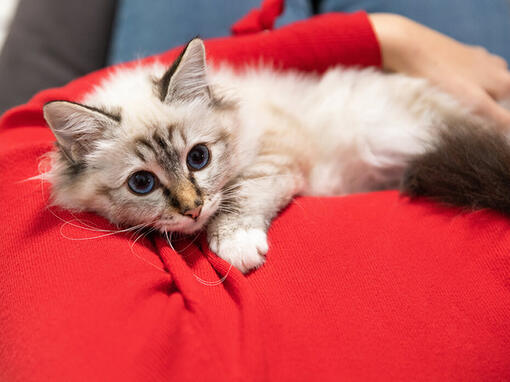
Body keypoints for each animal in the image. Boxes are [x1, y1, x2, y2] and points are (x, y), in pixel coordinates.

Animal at [41, 38, 510, 272]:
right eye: (142, 183)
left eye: (198, 158)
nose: (192, 210)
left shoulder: (277, 153)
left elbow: (243, 195)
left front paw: (236, 245)